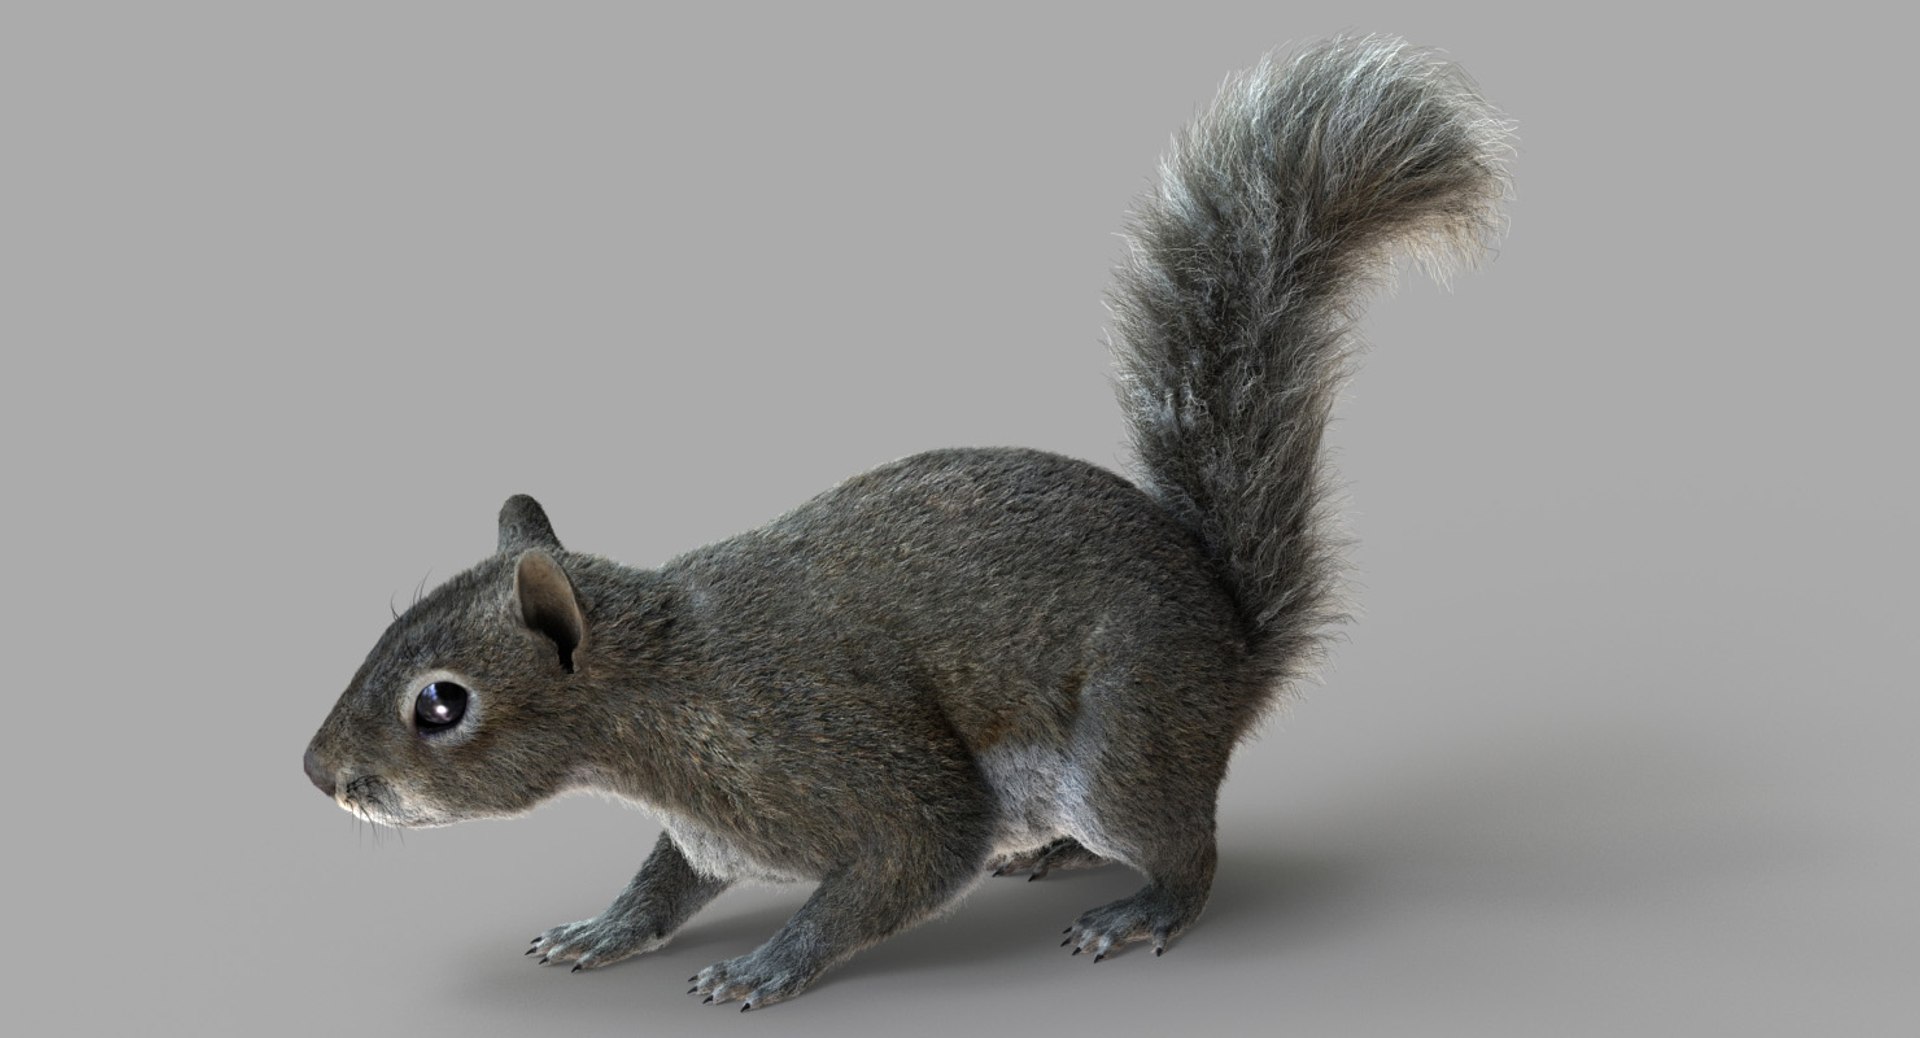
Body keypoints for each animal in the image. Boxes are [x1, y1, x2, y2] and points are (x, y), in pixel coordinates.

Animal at [304, 34, 1511, 1011]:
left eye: (441, 704)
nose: (319, 776)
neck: (663, 695)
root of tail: (1234, 650)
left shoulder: (839, 760)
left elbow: (910, 857)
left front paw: (767, 967)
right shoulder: (709, 827)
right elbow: (667, 881)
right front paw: (606, 929)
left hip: (1127, 742)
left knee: (1188, 852)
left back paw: (1141, 910)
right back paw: (1054, 859)